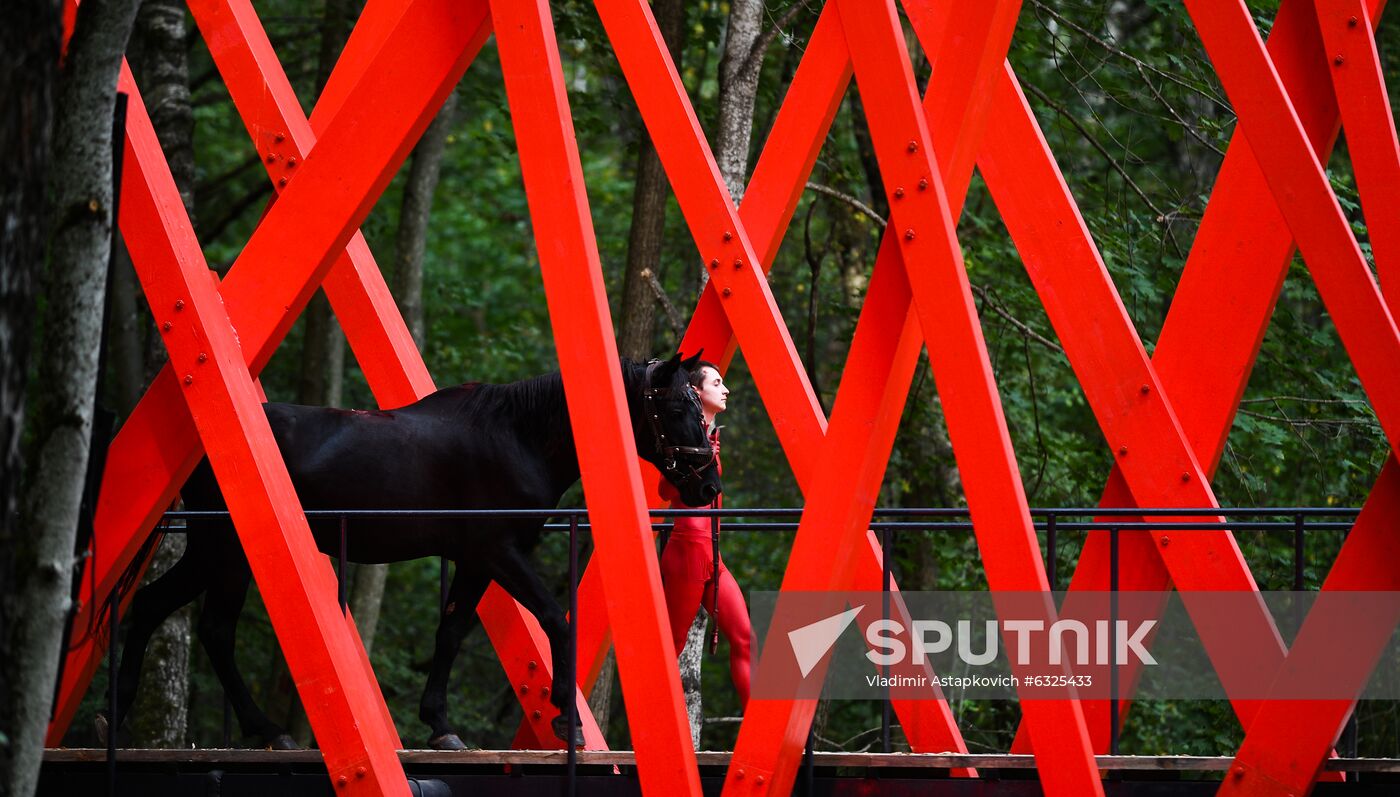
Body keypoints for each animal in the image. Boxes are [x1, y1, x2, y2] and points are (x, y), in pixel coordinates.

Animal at [101, 351, 722, 750]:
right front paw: (565, 720)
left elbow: (451, 632)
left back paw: (119, 710)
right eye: (673, 409)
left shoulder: (475, 561)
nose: (708, 485)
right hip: (228, 555)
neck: (516, 437)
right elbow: (556, 618)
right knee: (213, 630)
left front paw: (440, 724)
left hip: (210, 554)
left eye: (700, 404)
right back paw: (265, 729)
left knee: (153, 606)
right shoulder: (498, 552)